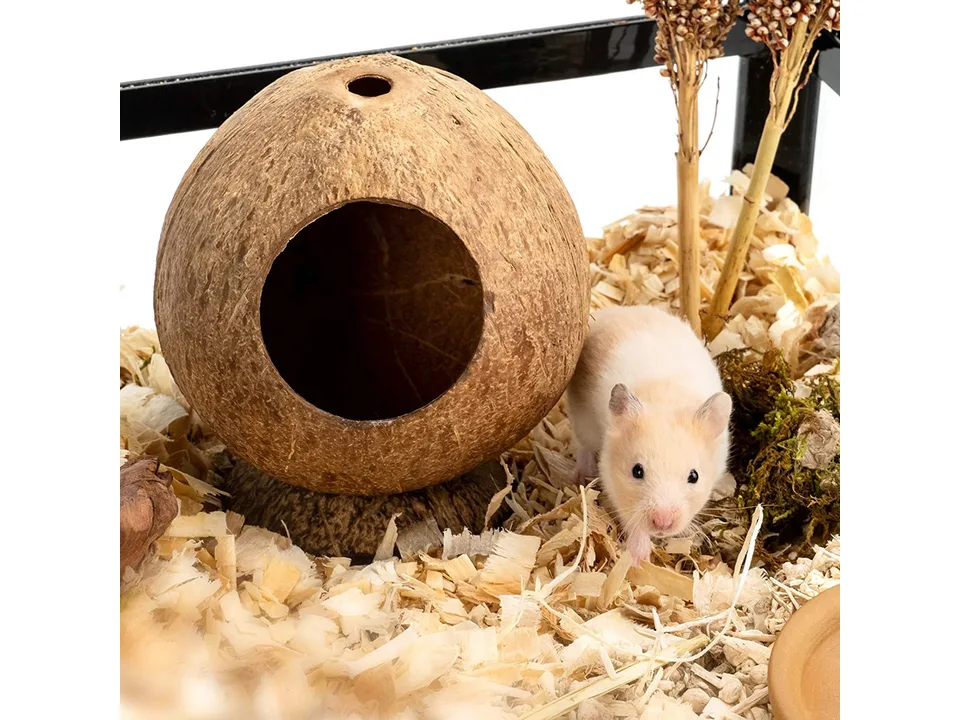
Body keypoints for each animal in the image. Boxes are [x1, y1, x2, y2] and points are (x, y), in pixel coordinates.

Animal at [565, 305, 732, 565]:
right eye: (637, 471)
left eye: (694, 476)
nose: (662, 524)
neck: (668, 396)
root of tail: (609, 313)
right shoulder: (612, 478)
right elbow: (633, 522)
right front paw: (637, 559)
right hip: (583, 420)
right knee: (584, 446)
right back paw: (580, 477)